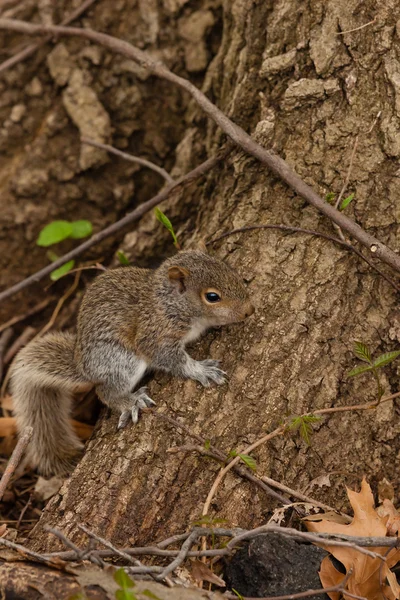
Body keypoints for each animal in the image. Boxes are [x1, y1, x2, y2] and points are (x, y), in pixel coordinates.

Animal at [10, 246, 255, 476]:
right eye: (212, 297)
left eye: (231, 270)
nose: (249, 311)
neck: (169, 303)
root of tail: (82, 366)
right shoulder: (154, 334)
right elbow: (171, 358)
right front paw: (201, 370)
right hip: (122, 360)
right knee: (105, 392)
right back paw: (130, 401)